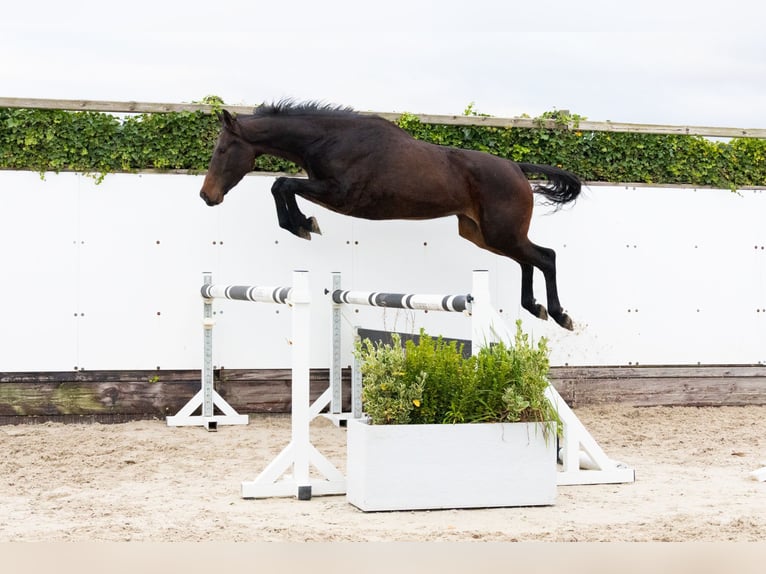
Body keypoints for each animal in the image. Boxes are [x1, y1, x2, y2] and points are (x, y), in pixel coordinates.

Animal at [200, 101, 581, 330]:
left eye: (223, 150)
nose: (207, 196)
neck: (329, 139)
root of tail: (516, 168)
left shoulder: (339, 194)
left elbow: (281, 184)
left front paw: (304, 224)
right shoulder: (329, 192)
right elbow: (281, 186)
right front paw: (302, 224)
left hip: (501, 233)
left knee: (545, 257)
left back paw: (560, 314)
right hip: (483, 235)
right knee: (529, 260)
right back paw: (535, 307)